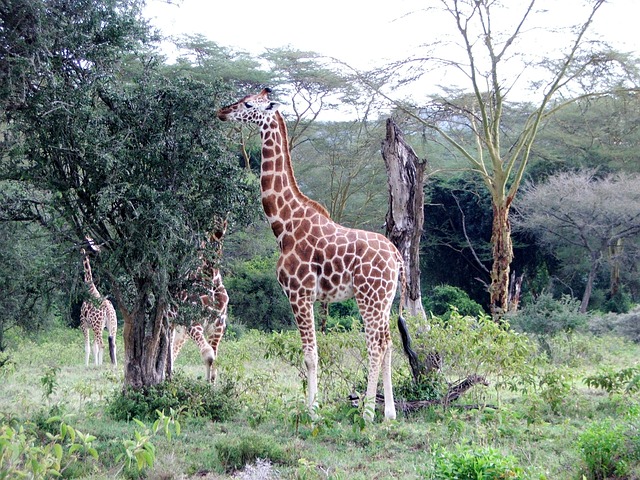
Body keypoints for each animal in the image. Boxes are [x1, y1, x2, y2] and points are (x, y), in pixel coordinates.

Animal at [79, 237, 117, 368]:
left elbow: (88, 348)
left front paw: (87, 366)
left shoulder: (84, 324)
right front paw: (96, 365)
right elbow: (94, 347)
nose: (81, 250)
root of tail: (108, 309)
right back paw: (114, 365)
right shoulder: (94, 326)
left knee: (103, 345)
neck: (90, 289)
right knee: (113, 344)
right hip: (112, 325)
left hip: (98, 326)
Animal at [169, 223, 229, 384]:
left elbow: (215, 358)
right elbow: (208, 354)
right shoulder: (193, 320)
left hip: (181, 331)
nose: (219, 230)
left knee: (173, 349)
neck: (210, 277)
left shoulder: (218, 324)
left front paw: (210, 384)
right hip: (171, 321)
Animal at [218, 87, 408, 420]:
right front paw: (312, 407)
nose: (223, 112)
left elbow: (310, 355)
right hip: (384, 299)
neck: (284, 224)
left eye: (248, 104)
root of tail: (397, 257)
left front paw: (312, 411)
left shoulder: (299, 293)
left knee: (375, 345)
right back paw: (389, 413)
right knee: (387, 342)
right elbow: (311, 353)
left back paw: (367, 413)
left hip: (369, 297)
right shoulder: (307, 296)